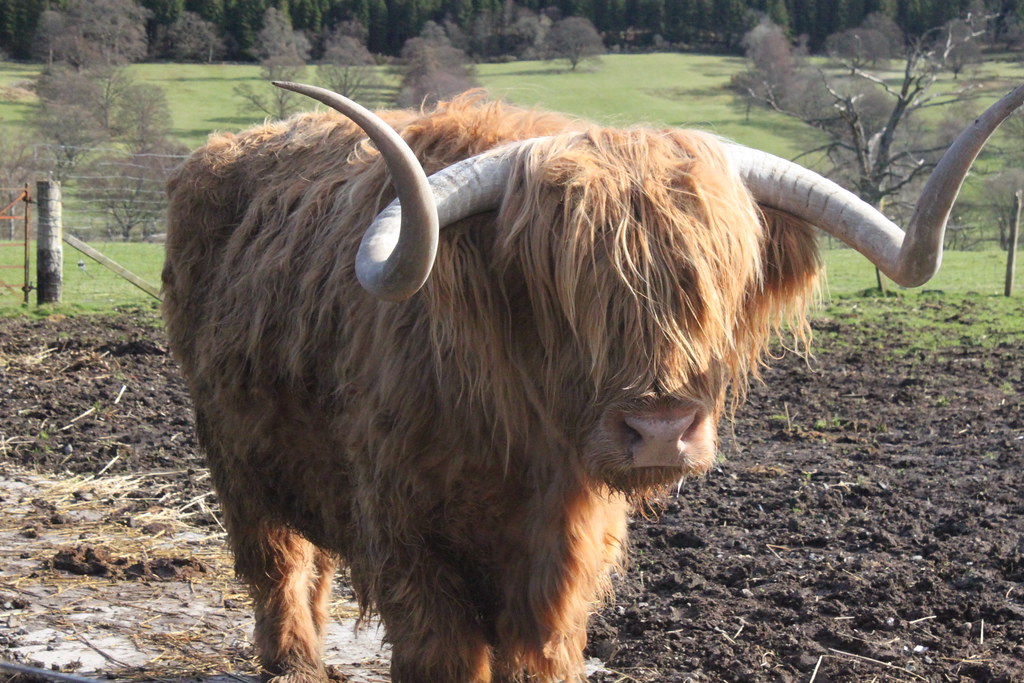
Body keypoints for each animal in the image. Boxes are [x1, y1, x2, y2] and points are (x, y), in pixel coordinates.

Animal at [161, 82, 1024, 682]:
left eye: (714, 282)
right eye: (563, 290)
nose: (661, 431)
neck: (521, 451)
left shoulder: (566, 558)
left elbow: (538, 652)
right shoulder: (410, 542)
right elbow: (443, 652)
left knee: (311, 561)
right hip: (231, 455)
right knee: (276, 560)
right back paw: (294, 660)